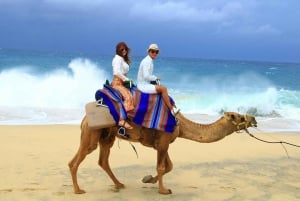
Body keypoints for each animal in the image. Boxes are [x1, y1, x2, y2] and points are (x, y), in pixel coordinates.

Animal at [69, 111, 256, 195]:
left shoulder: (163, 143)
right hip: (92, 134)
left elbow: (169, 166)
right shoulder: (164, 141)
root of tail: (84, 118)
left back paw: (119, 184)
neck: (181, 125)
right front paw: (163, 190)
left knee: (103, 160)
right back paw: (78, 190)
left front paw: (148, 179)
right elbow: (161, 167)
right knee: (76, 159)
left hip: (107, 136)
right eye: (239, 117)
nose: (254, 119)